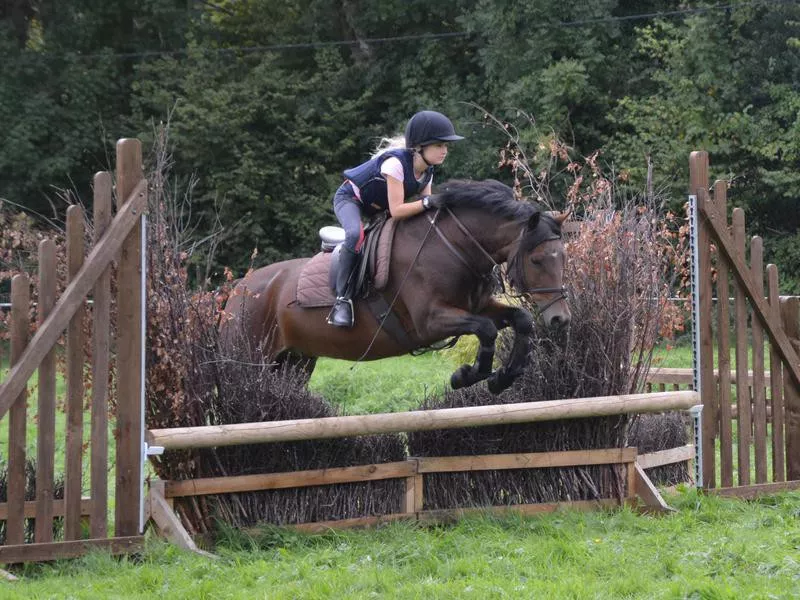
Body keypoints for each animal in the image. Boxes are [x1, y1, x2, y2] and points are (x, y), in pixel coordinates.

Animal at [222, 179, 572, 394]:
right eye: (537, 260)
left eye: (563, 256)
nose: (560, 319)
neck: (453, 246)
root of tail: (240, 287)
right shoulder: (429, 322)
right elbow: (485, 329)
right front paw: (465, 376)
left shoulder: (476, 306)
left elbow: (520, 320)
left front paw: (503, 378)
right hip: (252, 360)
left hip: (295, 361)